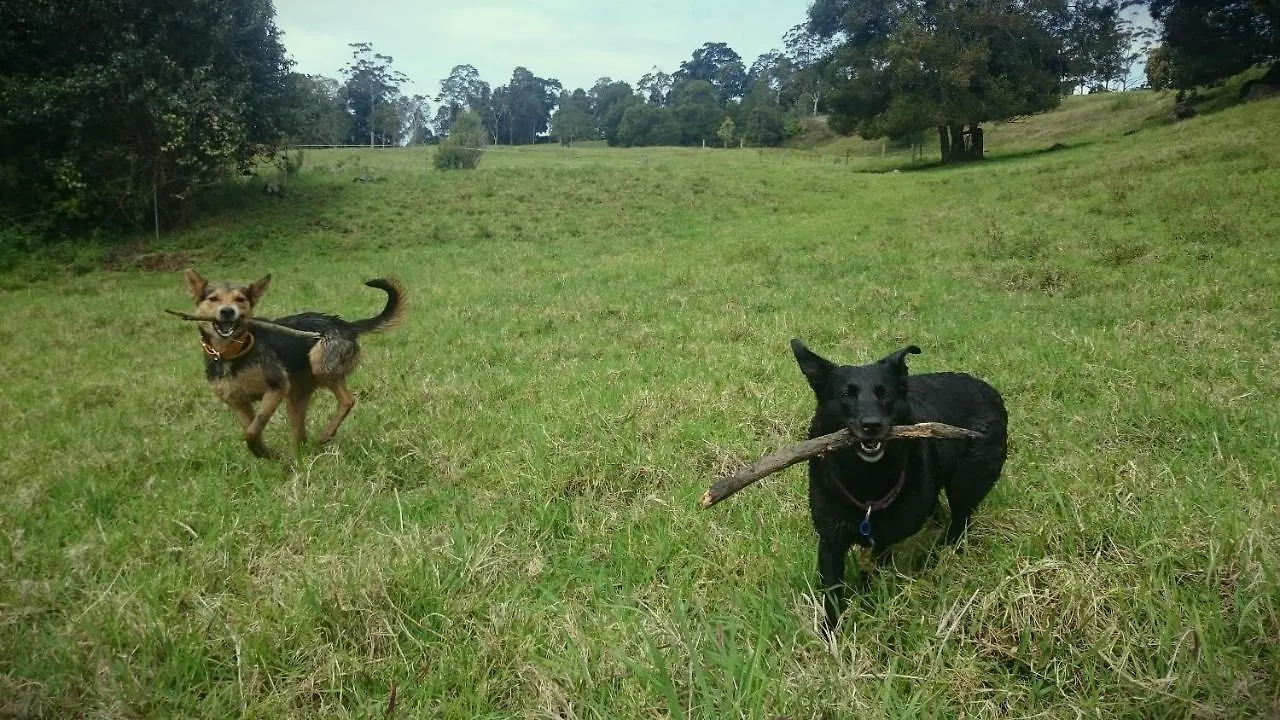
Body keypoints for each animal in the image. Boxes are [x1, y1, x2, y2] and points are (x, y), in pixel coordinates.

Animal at [788, 338, 1008, 625]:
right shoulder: (830, 539)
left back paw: (936, 556)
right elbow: (833, 592)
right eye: (846, 394)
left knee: (960, 522)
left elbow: (870, 578)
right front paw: (831, 631)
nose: (871, 425)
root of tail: (988, 389)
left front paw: (865, 607)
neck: (866, 479)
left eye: (885, 394)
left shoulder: (883, 542)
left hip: (967, 483)